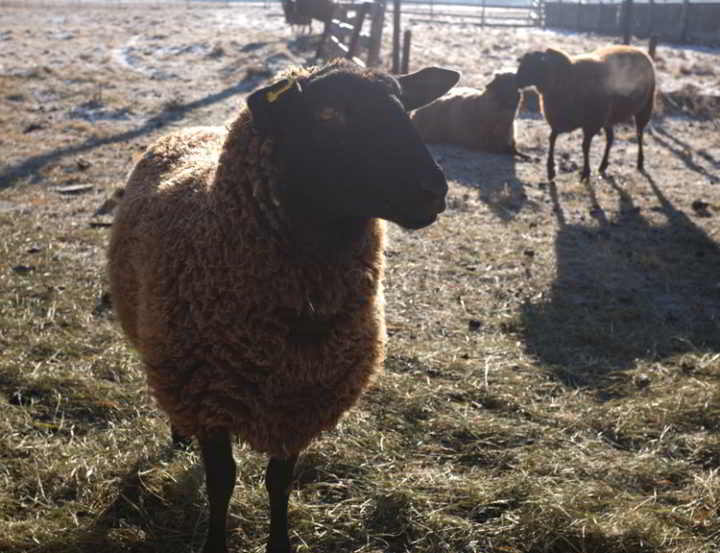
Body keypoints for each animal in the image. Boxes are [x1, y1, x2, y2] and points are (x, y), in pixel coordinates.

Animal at [107, 59, 460, 553]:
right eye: (329, 114)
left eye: (404, 106)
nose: (432, 190)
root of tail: (193, 129)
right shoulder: (210, 394)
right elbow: (222, 481)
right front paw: (215, 543)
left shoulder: (301, 397)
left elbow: (279, 482)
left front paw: (279, 541)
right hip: (165, 351)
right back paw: (179, 435)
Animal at [515, 45, 655, 182]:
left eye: (533, 65)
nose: (516, 80)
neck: (565, 77)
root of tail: (643, 53)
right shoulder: (560, 120)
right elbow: (551, 139)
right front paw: (550, 171)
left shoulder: (591, 123)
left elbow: (585, 146)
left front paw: (585, 173)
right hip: (608, 118)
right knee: (610, 138)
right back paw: (603, 165)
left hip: (645, 107)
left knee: (639, 134)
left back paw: (640, 162)